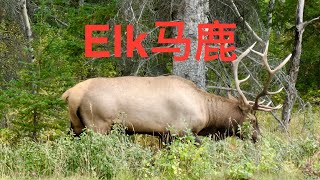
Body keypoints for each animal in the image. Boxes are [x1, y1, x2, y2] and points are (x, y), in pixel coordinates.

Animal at [61, 41, 292, 143]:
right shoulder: (180, 131)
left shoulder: (164, 135)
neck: (207, 115)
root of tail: (71, 93)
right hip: (98, 124)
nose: (259, 138)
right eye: (253, 120)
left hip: (76, 126)